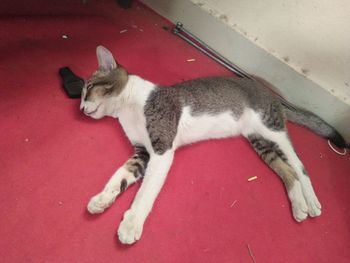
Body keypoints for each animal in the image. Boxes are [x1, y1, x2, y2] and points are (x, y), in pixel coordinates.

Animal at [81, 45, 348, 245]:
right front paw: (102, 199)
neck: (127, 108)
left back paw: (311, 201)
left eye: (89, 88)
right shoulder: (142, 152)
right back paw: (299, 205)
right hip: (259, 140)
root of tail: (275, 97)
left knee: (299, 165)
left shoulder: (162, 149)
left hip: (272, 129)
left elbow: (145, 193)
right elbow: (120, 176)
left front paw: (132, 223)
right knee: (287, 170)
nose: (81, 108)